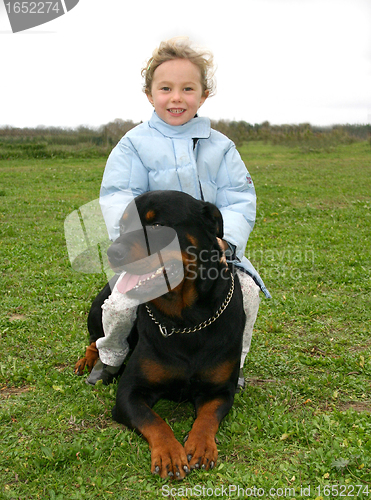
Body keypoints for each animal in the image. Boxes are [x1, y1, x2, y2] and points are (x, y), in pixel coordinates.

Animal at [76, 191, 246, 480]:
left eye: (157, 226)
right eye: (123, 226)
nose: (113, 252)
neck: (186, 320)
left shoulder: (220, 390)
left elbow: (207, 417)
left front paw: (201, 446)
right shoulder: (130, 392)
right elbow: (153, 421)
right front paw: (169, 453)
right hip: (99, 307)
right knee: (95, 340)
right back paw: (89, 361)